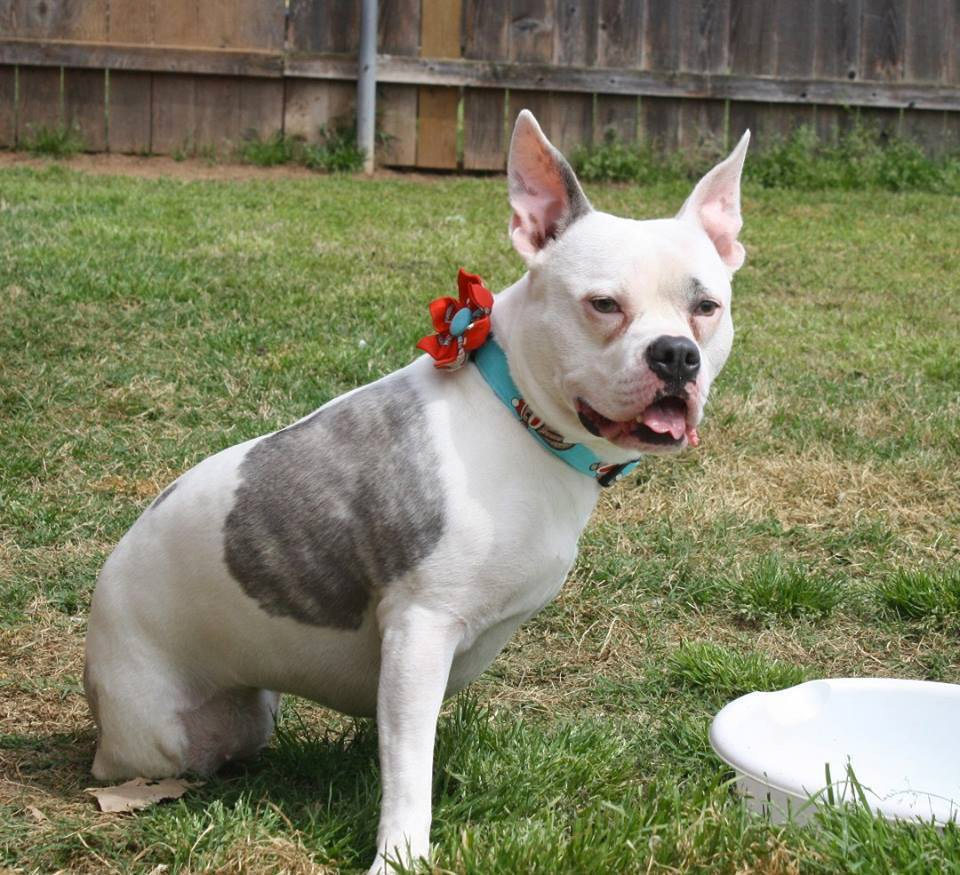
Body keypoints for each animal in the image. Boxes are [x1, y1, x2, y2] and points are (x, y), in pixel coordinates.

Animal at [86, 113, 752, 872]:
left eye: (707, 307)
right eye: (603, 305)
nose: (675, 353)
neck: (517, 416)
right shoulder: (419, 632)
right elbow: (409, 766)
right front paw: (400, 853)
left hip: (249, 714)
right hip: (160, 734)